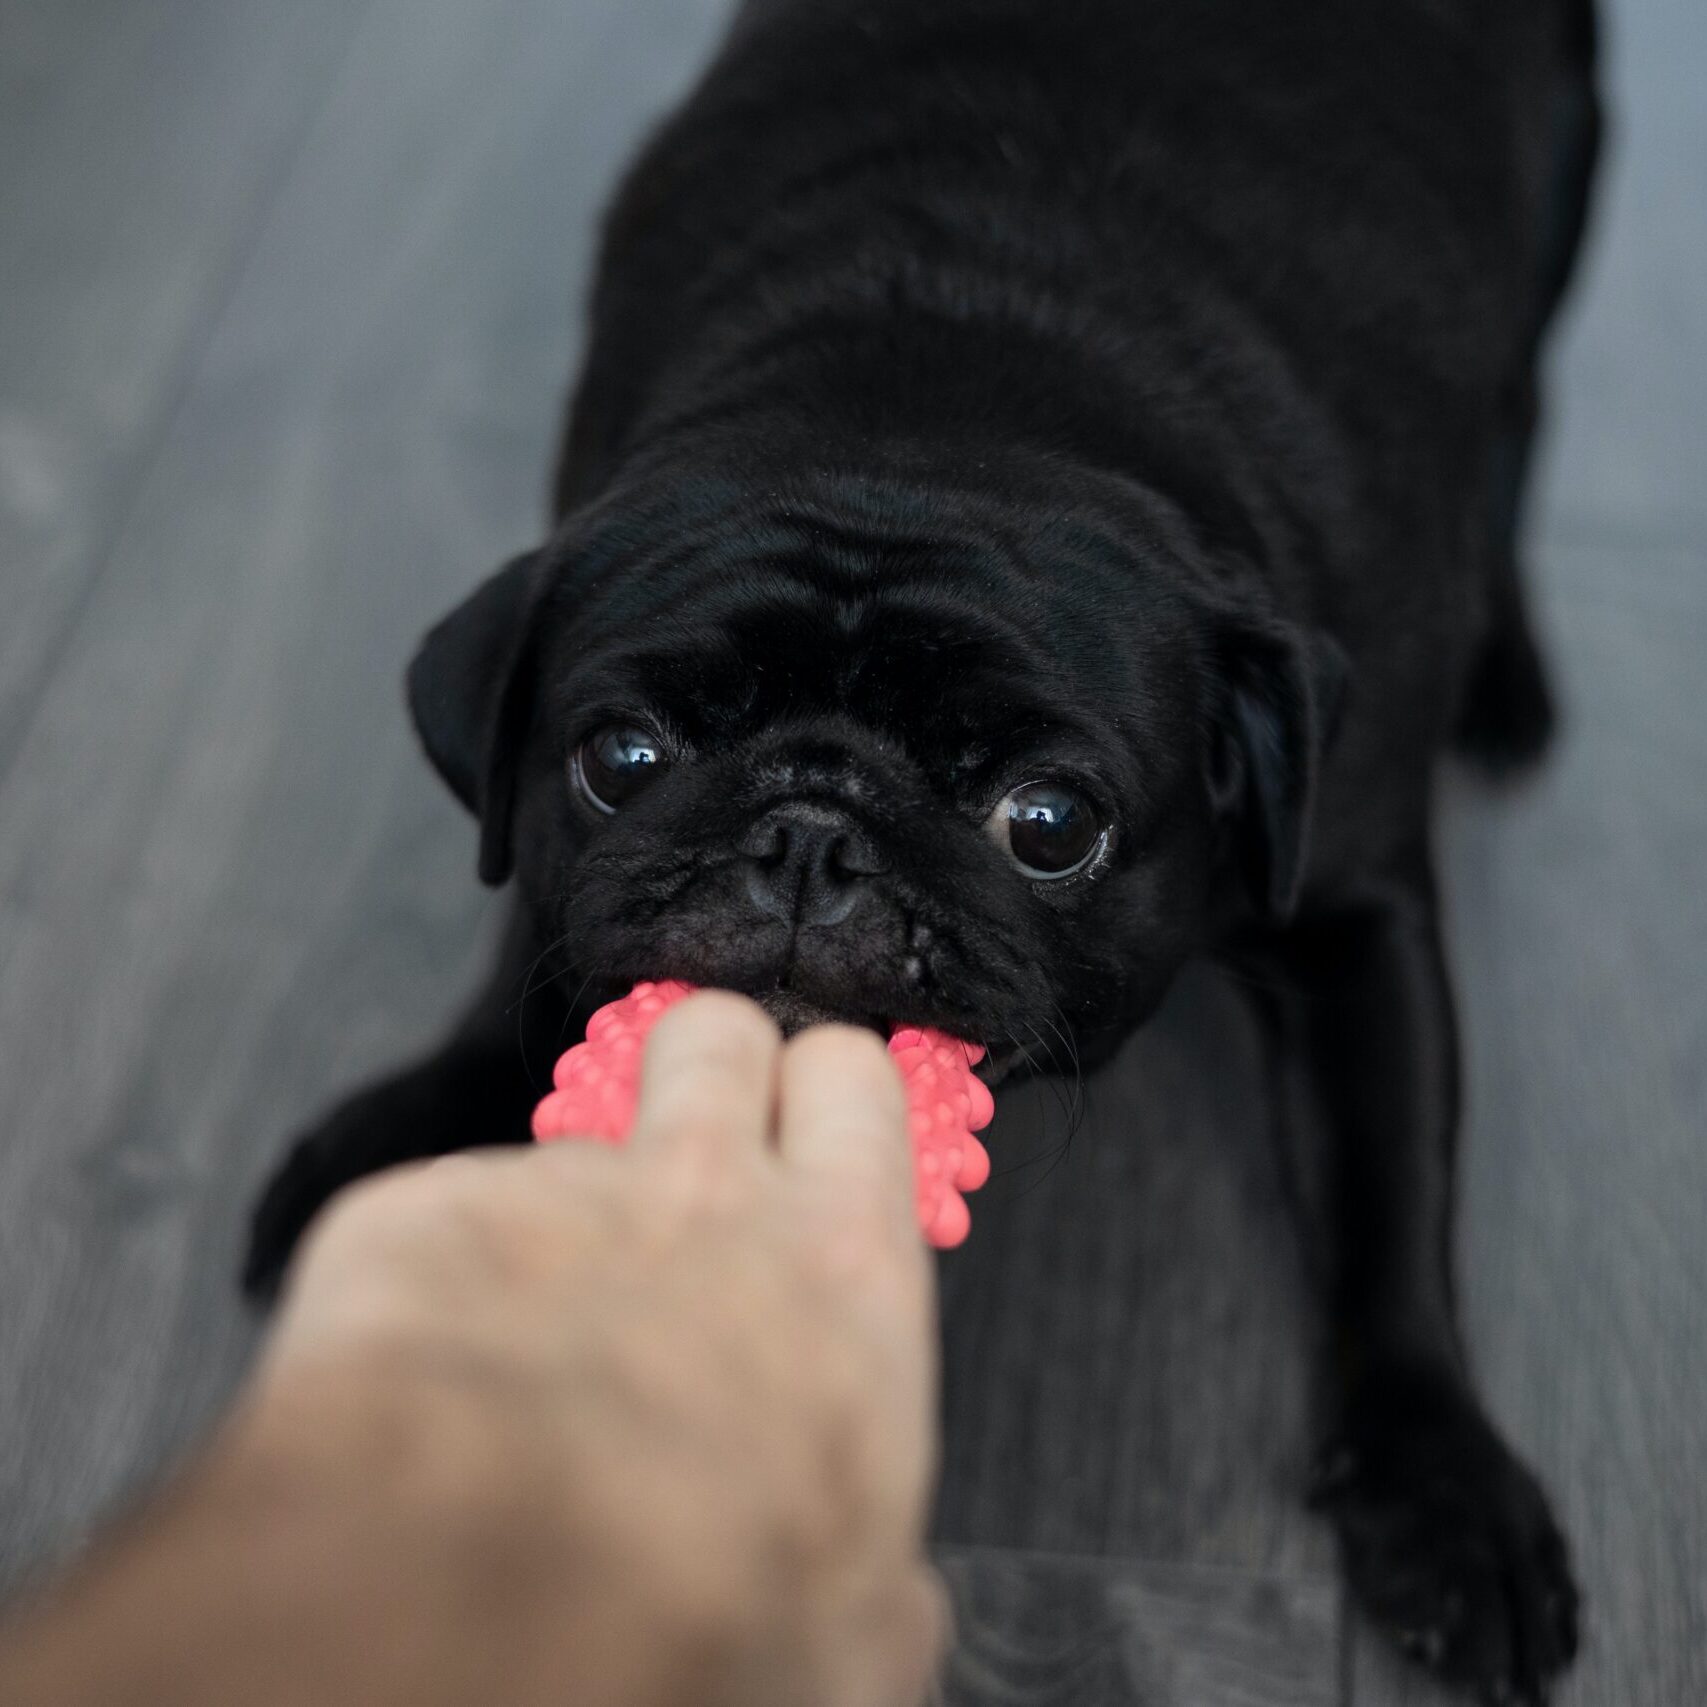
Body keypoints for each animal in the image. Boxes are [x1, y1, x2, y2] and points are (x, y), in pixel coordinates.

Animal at [247, 3, 1604, 1693]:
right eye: (617, 760)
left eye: (1050, 825)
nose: (807, 832)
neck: (934, 404)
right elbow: (530, 932)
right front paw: (421, 1118)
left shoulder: (1349, 907)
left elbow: (1387, 1202)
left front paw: (1441, 1485)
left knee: (1524, 416)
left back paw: (1507, 667)